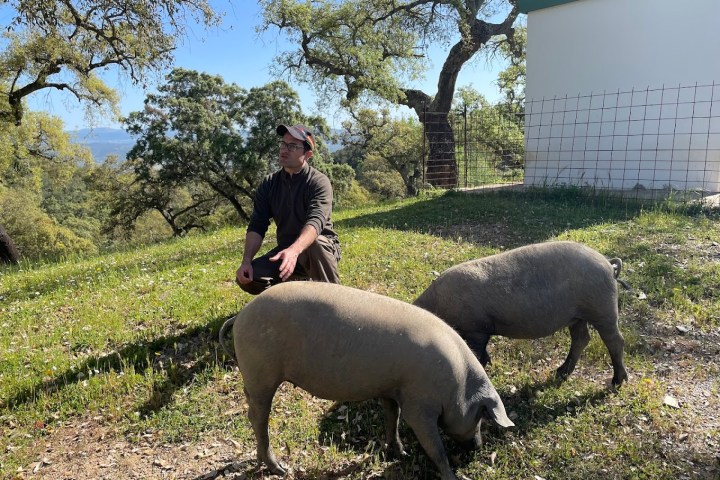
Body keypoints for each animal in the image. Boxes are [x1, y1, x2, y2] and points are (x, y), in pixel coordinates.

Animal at [219, 282, 514, 480]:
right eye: (480, 417)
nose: (477, 447)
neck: (455, 387)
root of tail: (240, 316)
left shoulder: (391, 389)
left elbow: (392, 418)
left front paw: (400, 453)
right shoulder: (419, 405)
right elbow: (434, 446)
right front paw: (451, 475)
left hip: (252, 378)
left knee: (252, 413)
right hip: (261, 373)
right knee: (258, 418)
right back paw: (280, 468)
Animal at [413, 241, 629, 387]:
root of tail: (608, 264)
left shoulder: (477, 329)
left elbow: (476, 353)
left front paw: (483, 366)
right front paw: (489, 363)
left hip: (602, 309)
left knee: (615, 341)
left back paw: (617, 382)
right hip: (577, 316)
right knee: (582, 339)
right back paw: (560, 373)